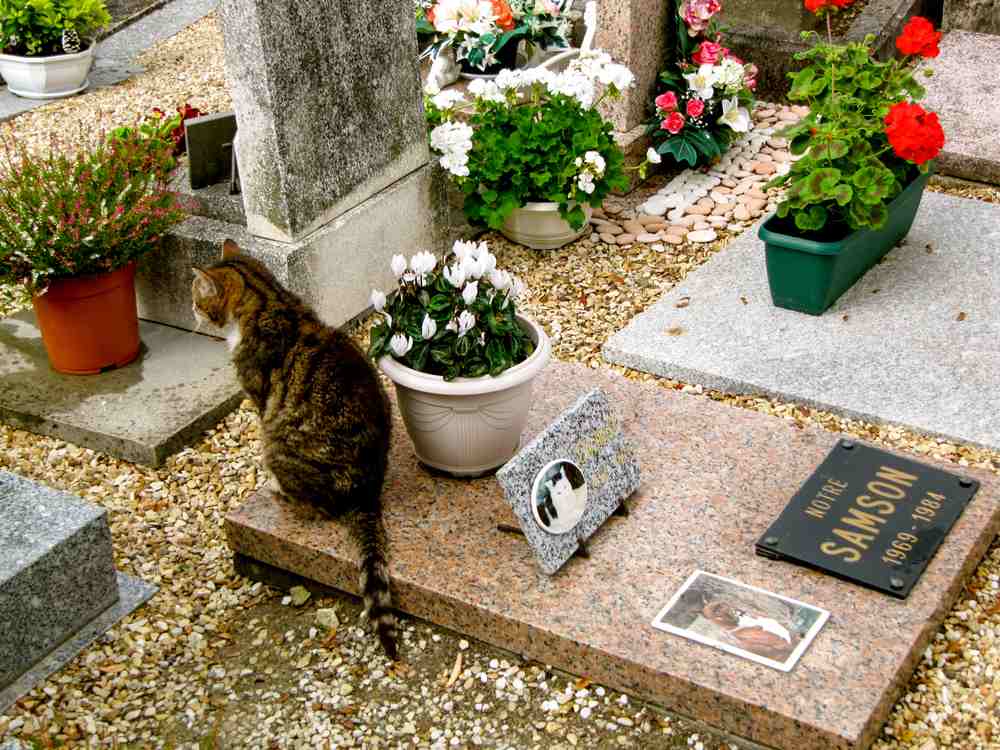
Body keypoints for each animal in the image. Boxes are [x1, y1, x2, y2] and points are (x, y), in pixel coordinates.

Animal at [191, 241, 398, 656]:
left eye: (195, 297)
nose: (190, 310)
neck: (269, 299)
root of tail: (365, 493)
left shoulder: (259, 397)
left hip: (276, 444)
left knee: (316, 506)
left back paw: (279, 491)